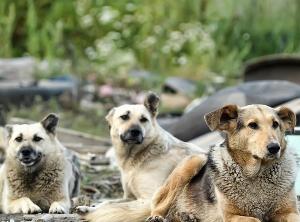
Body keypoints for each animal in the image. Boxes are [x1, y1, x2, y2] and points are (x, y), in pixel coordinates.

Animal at [148, 104, 300, 222]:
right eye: (252, 125)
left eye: (275, 124)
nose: (275, 147)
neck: (257, 174)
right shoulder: (231, 216)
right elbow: (255, 219)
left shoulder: (289, 212)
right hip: (194, 161)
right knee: (160, 205)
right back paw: (158, 217)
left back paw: (186, 217)